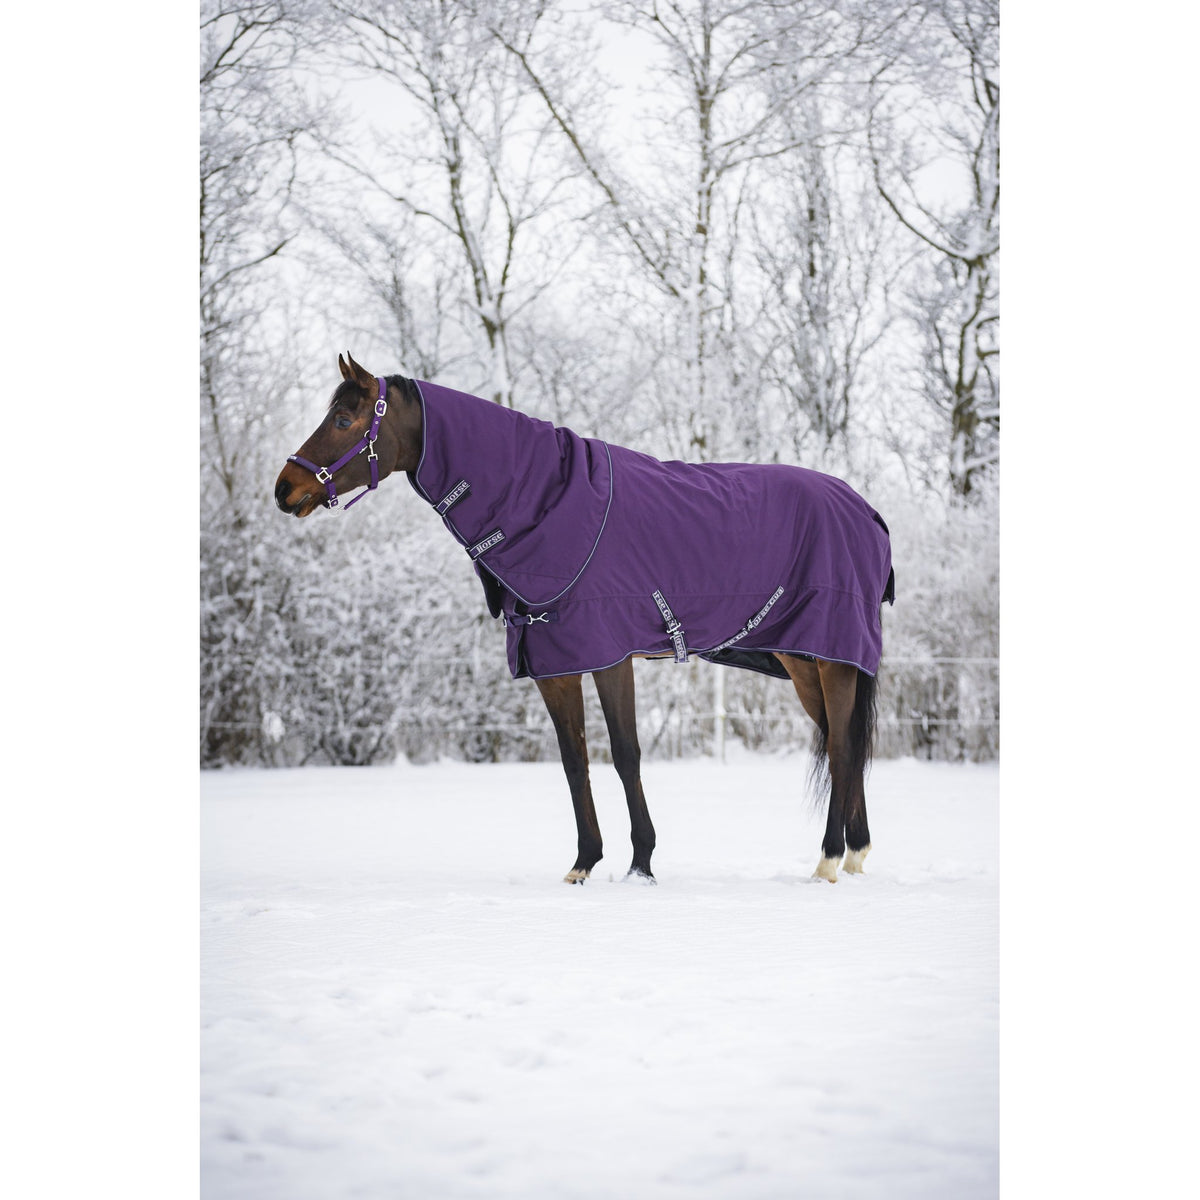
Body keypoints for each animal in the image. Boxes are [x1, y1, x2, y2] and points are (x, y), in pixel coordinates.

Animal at [275, 353, 894, 885]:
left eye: (343, 418)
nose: (285, 489)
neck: (549, 503)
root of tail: (867, 511)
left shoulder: (609, 654)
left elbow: (624, 754)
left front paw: (641, 863)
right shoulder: (555, 664)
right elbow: (575, 759)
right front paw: (584, 862)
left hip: (832, 659)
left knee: (842, 748)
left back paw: (828, 861)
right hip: (804, 661)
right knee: (841, 742)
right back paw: (856, 854)